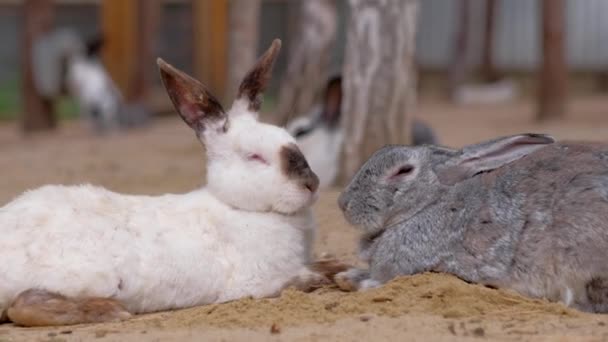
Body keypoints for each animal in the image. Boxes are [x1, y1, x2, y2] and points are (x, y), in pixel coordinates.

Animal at [1, 38, 332, 328]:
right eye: (255, 157)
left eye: (290, 138)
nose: (311, 184)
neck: (236, 207)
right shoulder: (254, 283)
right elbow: (297, 278)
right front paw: (320, 276)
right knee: (23, 305)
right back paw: (109, 310)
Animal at [338, 133, 608, 312]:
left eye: (403, 171)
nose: (343, 203)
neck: (432, 202)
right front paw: (345, 275)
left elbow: (378, 280)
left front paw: (355, 282)